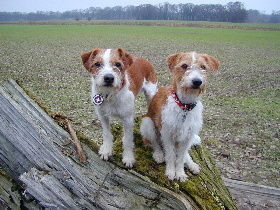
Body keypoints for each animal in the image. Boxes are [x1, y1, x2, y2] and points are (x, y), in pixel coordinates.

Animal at [140, 51, 219, 181]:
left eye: (203, 67)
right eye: (184, 66)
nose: (197, 81)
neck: (185, 107)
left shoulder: (187, 137)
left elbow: (181, 158)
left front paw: (180, 173)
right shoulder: (167, 134)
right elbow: (171, 155)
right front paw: (171, 172)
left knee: (185, 154)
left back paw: (192, 165)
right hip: (147, 123)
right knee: (154, 143)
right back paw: (159, 154)